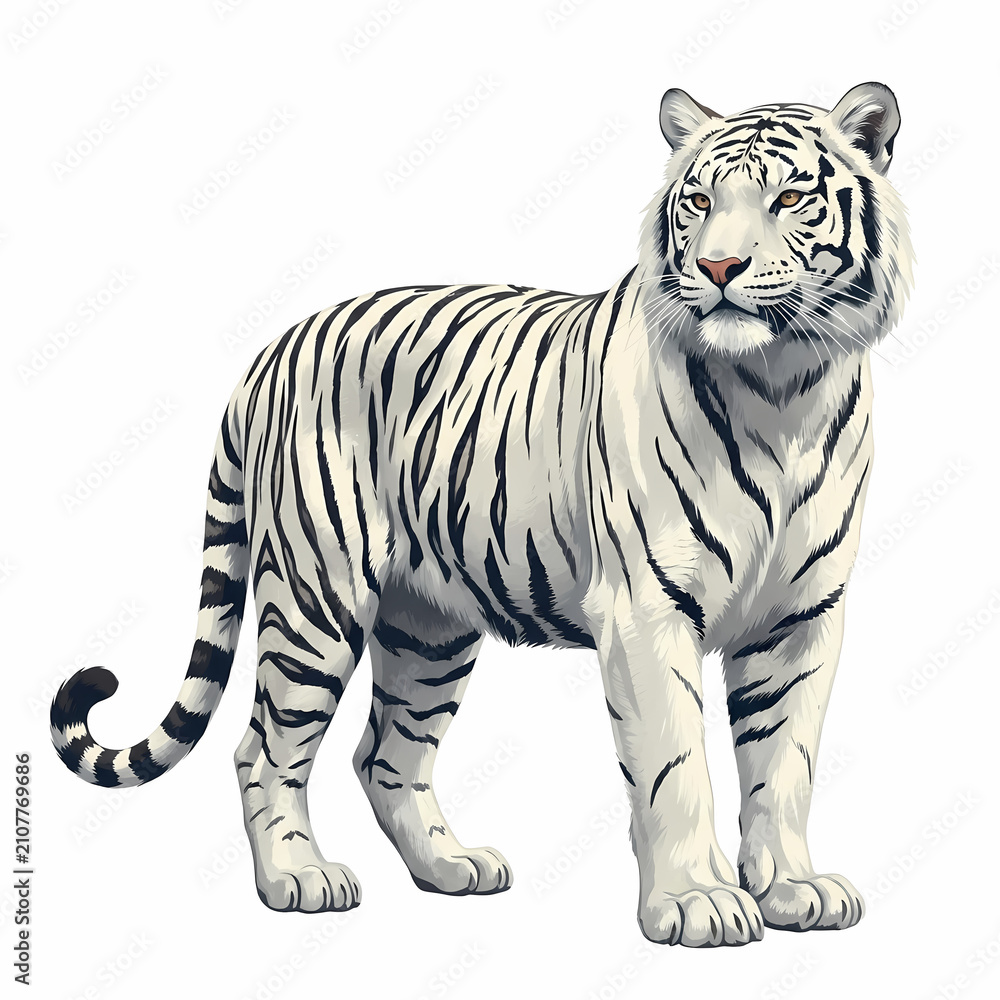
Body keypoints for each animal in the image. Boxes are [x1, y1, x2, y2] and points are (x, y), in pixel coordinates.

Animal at [51, 81, 912, 947]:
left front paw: (794, 889)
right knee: (262, 749)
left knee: (385, 755)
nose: (718, 266)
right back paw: (299, 877)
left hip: (428, 626)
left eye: (790, 198)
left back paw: (450, 867)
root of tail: (275, 346)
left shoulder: (802, 616)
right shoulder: (647, 607)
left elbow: (784, 763)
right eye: (699, 201)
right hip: (314, 600)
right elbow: (677, 766)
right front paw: (697, 901)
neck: (784, 387)